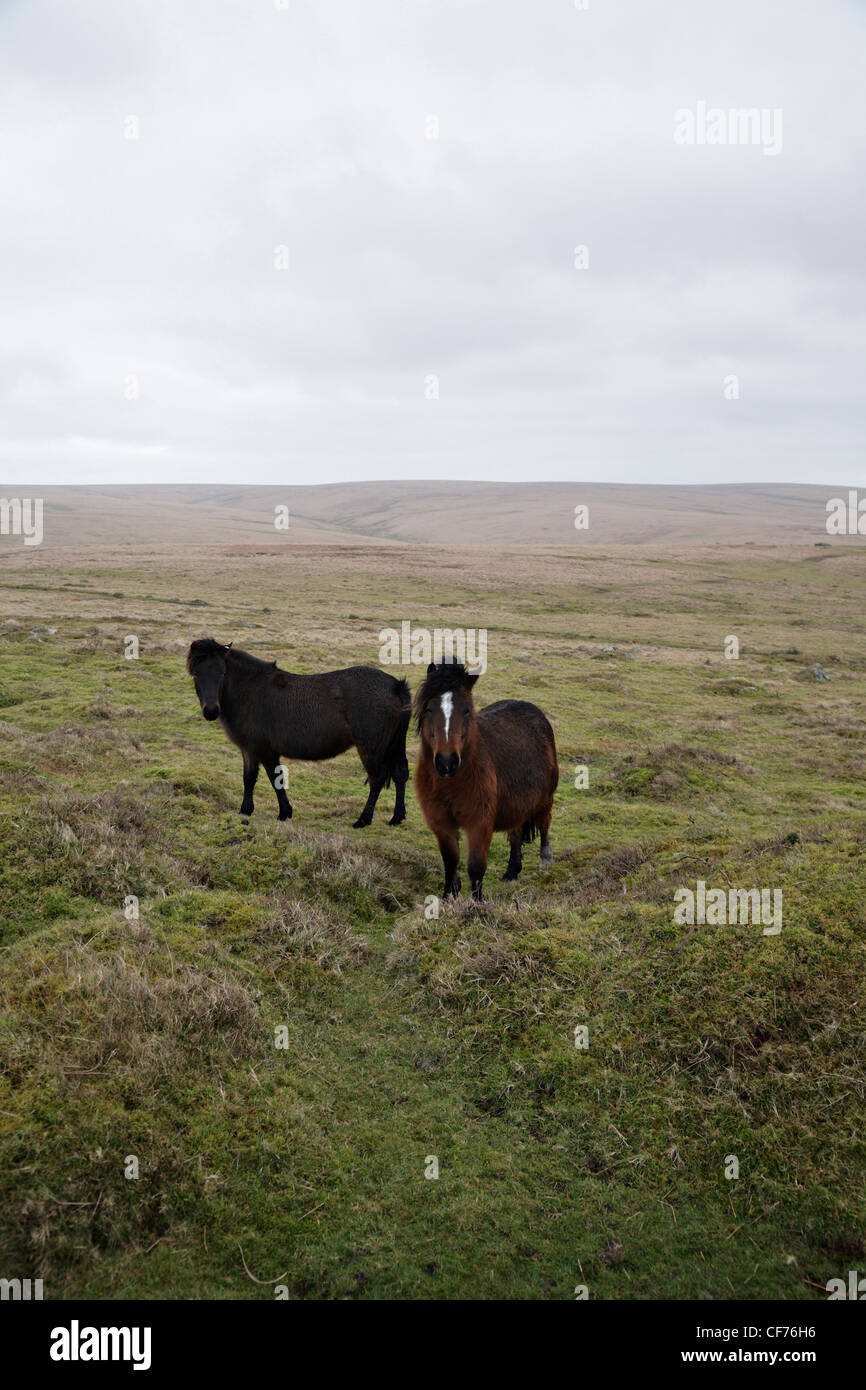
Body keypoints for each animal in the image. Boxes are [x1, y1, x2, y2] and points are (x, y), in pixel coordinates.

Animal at [187, 636, 411, 822]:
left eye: (222, 673)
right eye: (196, 674)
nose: (211, 711)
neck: (250, 691)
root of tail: (395, 685)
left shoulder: (265, 750)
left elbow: (275, 778)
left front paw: (284, 813)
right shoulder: (249, 749)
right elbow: (249, 779)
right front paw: (245, 810)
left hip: (371, 748)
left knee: (377, 779)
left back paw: (363, 820)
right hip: (394, 745)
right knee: (400, 774)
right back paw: (396, 818)